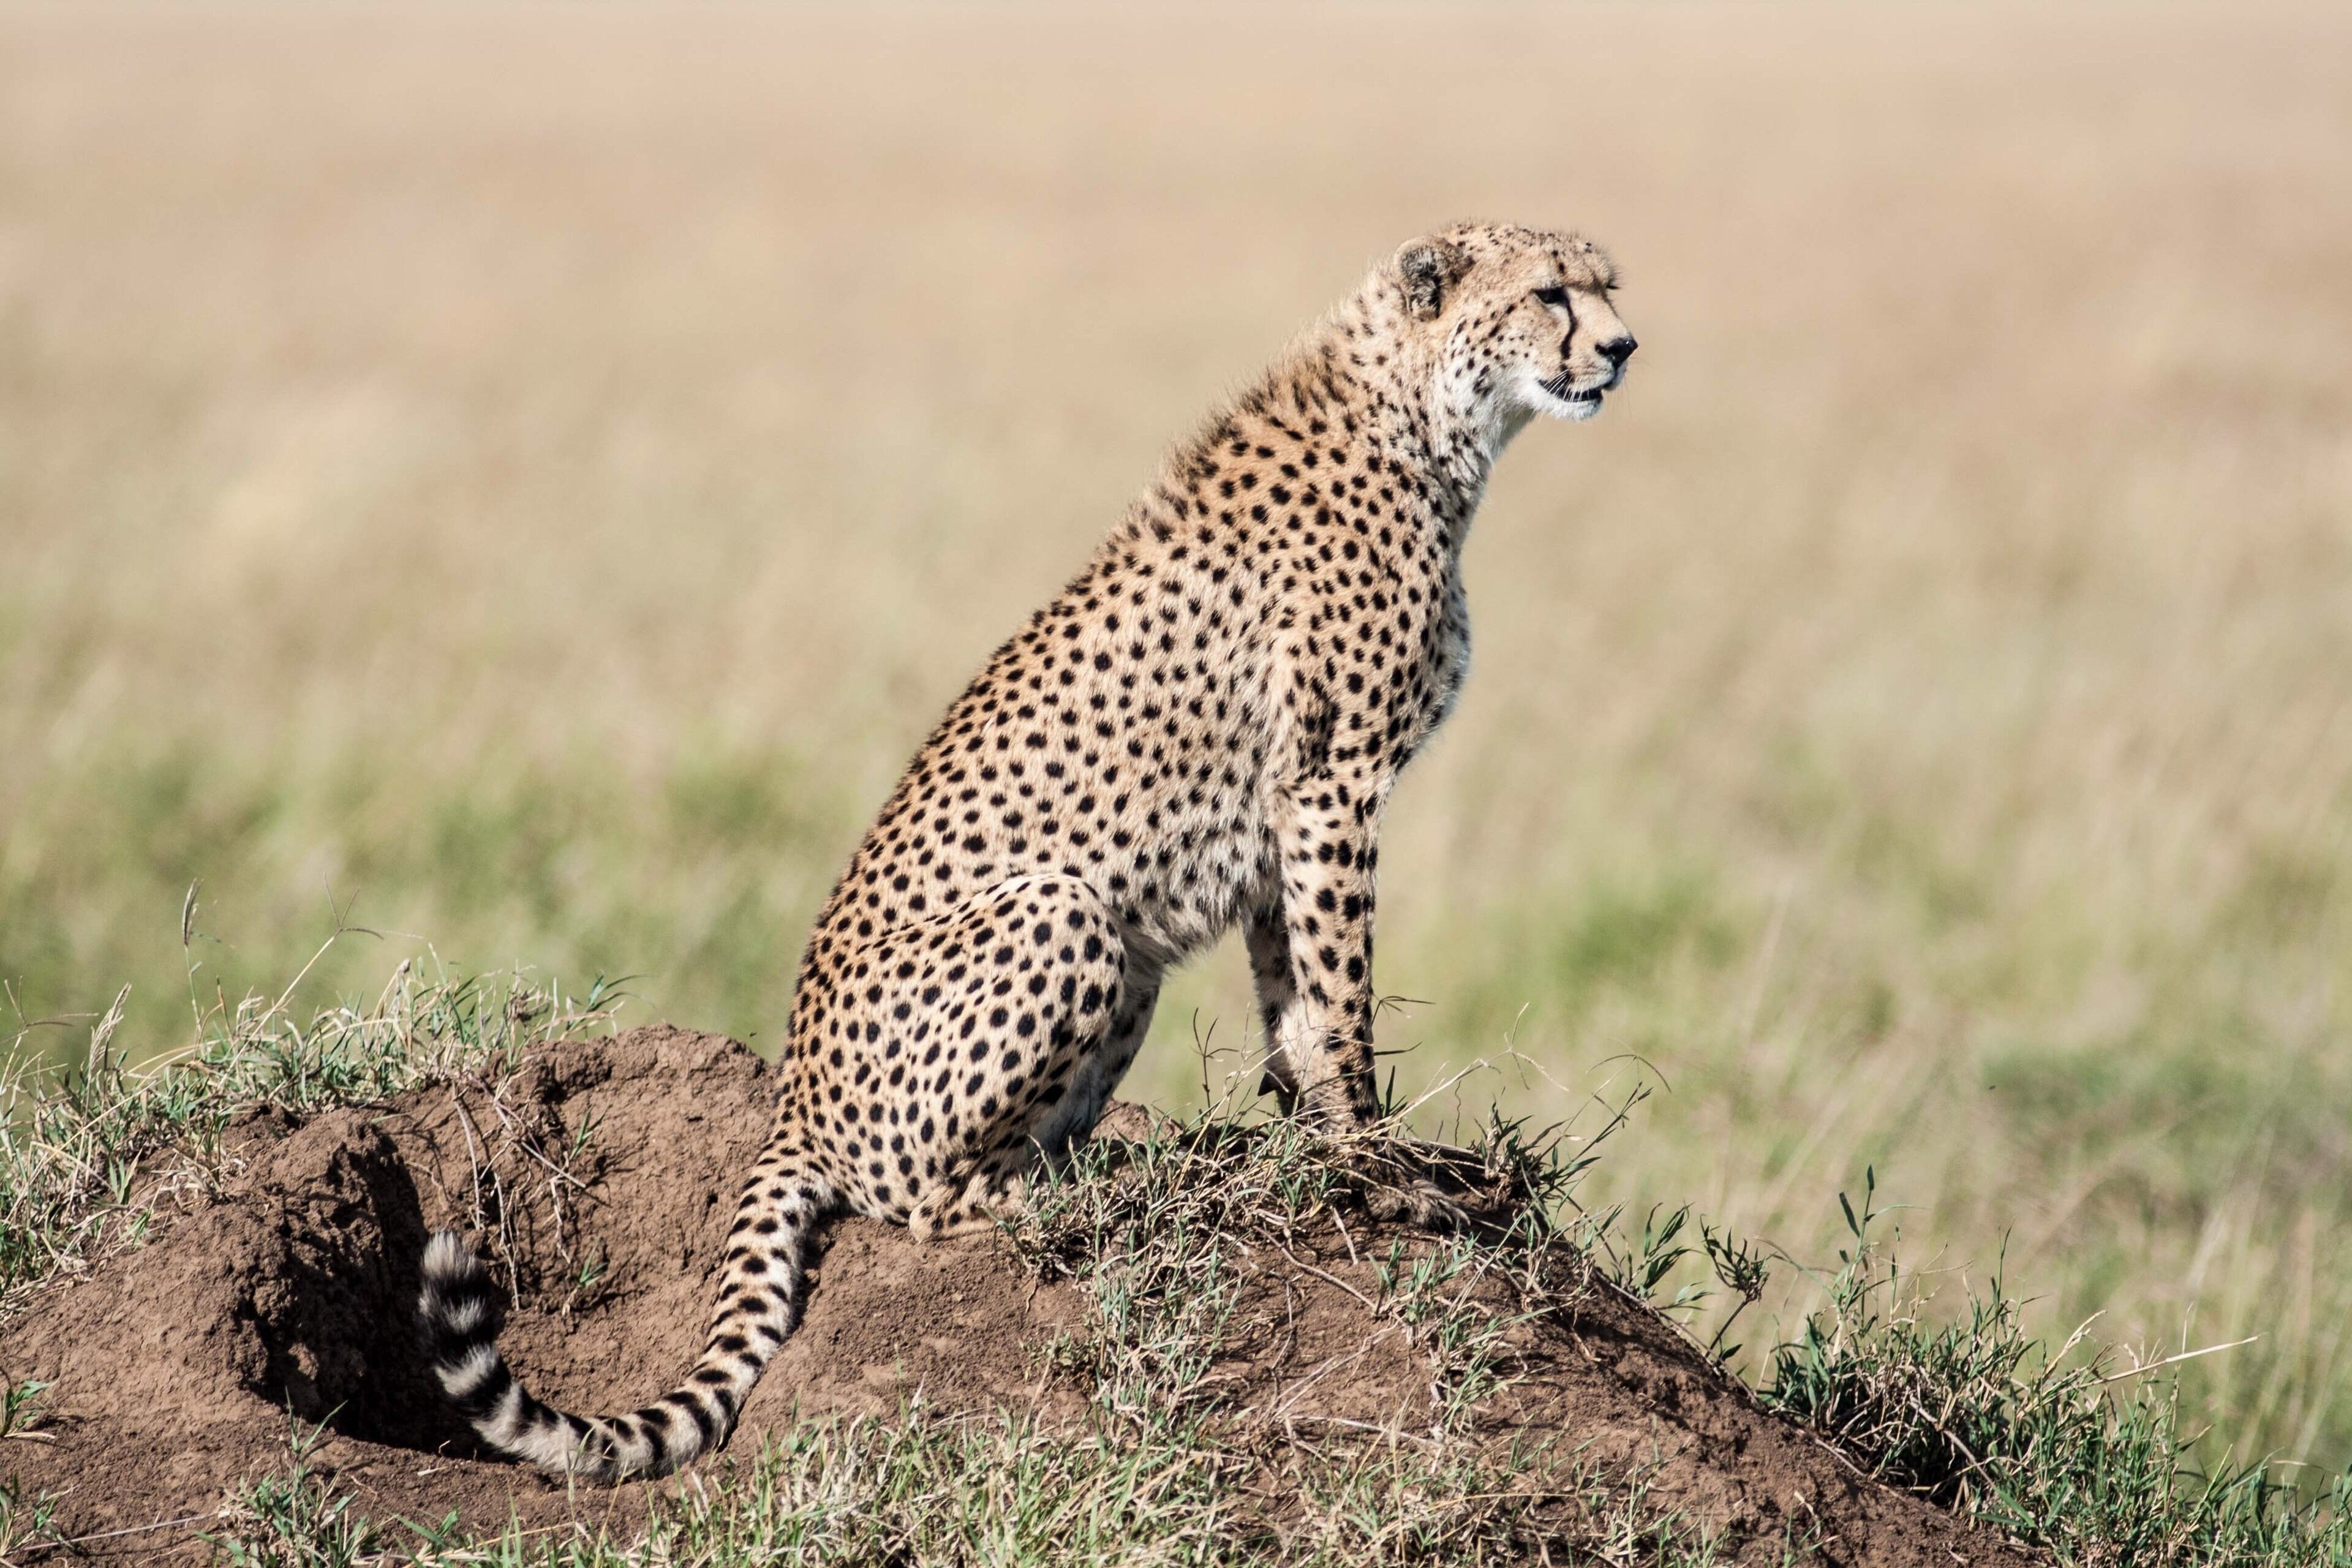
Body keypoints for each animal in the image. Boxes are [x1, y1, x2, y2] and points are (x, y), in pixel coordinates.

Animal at [418, 221, 1636, 1482]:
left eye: (1608, 287)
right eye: (1553, 293)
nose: (1623, 348)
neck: (1423, 417)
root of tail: (795, 1096)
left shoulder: (1285, 815)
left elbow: (1295, 1005)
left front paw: (1331, 1152)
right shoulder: (1331, 787)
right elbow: (1342, 999)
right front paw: (1382, 1167)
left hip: (1128, 968)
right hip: (1065, 911)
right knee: (924, 1205)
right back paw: (1079, 1198)